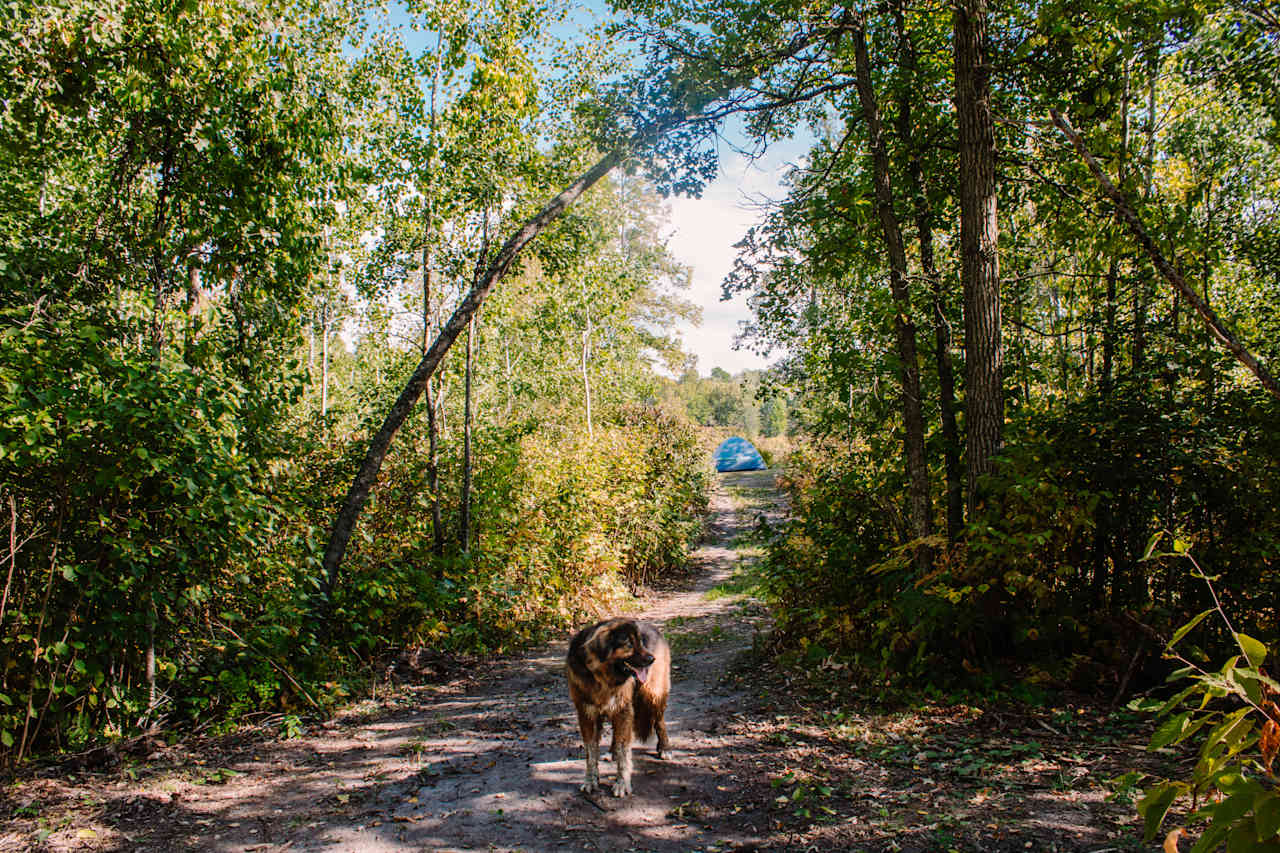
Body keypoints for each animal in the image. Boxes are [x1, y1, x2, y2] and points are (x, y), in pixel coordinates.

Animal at [568, 614, 675, 794]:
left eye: (641, 642)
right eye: (629, 644)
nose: (652, 659)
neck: (601, 679)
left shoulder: (623, 709)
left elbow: (623, 749)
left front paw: (622, 782)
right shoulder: (586, 714)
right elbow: (591, 751)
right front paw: (590, 779)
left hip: (653, 694)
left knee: (659, 721)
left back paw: (665, 748)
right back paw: (612, 752)